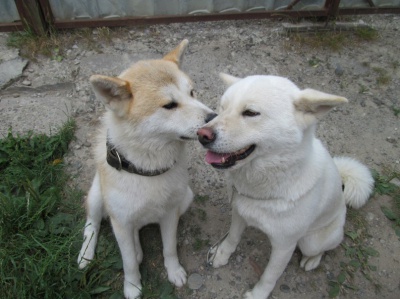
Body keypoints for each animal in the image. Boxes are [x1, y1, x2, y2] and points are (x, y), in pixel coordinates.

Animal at [77, 40, 216, 299]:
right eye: (169, 105)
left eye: (192, 93)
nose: (215, 119)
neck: (148, 170)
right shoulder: (120, 221)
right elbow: (129, 262)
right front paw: (132, 286)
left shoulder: (170, 213)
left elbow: (169, 248)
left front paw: (174, 271)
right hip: (98, 197)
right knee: (92, 225)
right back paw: (86, 254)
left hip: (186, 197)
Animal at [198, 73, 374, 299]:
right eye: (222, 107)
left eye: (251, 113)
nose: (202, 134)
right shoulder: (239, 213)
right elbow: (232, 238)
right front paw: (221, 254)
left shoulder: (284, 246)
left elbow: (269, 276)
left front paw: (257, 294)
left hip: (311, 241)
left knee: (323, 248)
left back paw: (312, 260)